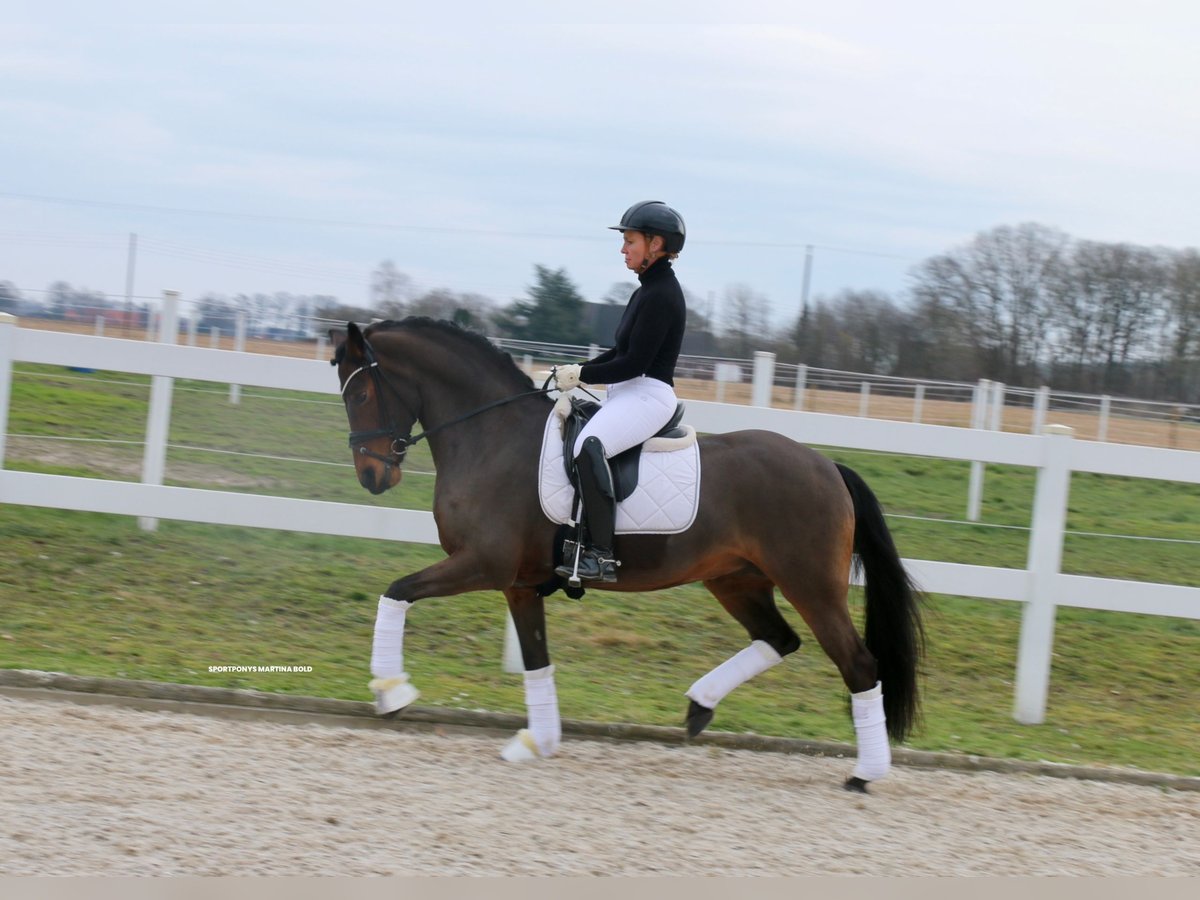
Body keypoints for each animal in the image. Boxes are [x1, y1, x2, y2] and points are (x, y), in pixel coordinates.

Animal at [324, 319, 921, 796]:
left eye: (362, 395)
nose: (373, 476)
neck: (490, 437)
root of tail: (827, 466)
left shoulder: (484, 565)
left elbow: (396, 592)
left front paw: (392, 692)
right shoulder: (518, 583)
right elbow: (536, 660)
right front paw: (537, 741)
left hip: (811, 584)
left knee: (858, 664)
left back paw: (864, 774)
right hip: (736, 580)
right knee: (779, 639)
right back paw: (699, 707)